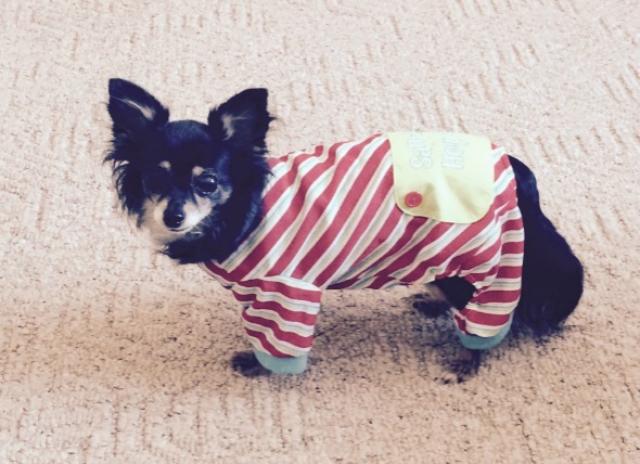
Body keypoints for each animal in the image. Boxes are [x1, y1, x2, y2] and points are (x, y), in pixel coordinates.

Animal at [104, 78, 584, 380]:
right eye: (155, 180)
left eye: (208, 183)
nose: (173, 216)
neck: (242, 211)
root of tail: (516, 176)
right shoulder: (252, 289)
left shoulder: (286, 292)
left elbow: (278, 343)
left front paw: (259, 367)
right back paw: (433, 304)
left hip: (482, 260)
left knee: (489, 320)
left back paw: (466, 361)